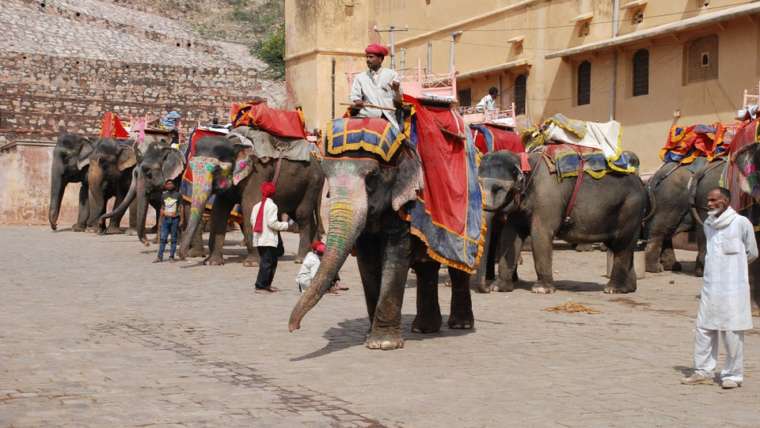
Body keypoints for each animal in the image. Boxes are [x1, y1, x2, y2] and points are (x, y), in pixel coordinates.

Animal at [180, 135, 326, 266]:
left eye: (216, 170)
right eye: (190, 167)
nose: (180, 256)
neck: (234, 143)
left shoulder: (257, 174)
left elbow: (249, 207)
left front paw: (251, 263)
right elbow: (219, 210)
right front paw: (212, 262)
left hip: (313, 183)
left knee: (302, 215)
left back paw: (300, 259)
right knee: (300, 215)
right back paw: (314, 254)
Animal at [290, 145, 476, 350]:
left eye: (372, 175)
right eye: (326, 173)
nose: (294, 328)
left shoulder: (404, 205)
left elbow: (395, 254)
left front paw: (384, 343)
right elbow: (368, 261)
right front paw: (369, 337)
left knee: (457, 268)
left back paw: (460, 325)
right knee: (426, 268)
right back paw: (423, 329)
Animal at [478, 150, 652, 294]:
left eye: (498, 188)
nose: (486, 288)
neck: (524, 161)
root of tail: (640, 182)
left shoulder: (547, 199)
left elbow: (540, 234)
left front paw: (541, 289)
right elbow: (510, 235)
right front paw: (498, 287)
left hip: (631, 208)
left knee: (622, 245)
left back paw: (613, 289)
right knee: (621, 247)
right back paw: (629, 289)